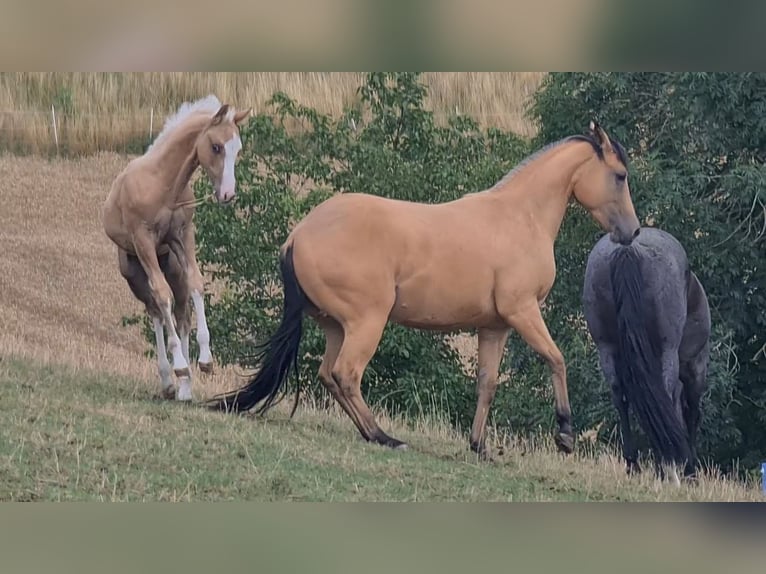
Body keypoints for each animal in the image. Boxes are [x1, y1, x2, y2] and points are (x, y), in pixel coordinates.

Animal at [102, 95, 251, 401]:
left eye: (238, 149)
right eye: (216, 146)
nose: (227, 194)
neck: (163, 184)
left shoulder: (182, 236)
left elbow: (197, 284)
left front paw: (205, 360)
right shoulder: (144, 240)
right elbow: (161, 296)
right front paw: (180, 365)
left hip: (171, 265)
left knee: (180, 312)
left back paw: (184, 387)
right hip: (135, 271)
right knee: (156, 310)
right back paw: (170, 378)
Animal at [207, 121, 641, 458]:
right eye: (620, 175)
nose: (632, 232)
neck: (520, 217)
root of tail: (298, 234)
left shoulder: (495, 326)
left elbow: (487, 383)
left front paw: (479, 446)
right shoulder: (522, 312)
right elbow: (556, 359)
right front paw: (565, 435)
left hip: (335, 326)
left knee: (329, 375)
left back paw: (371, 433)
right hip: (367, 322)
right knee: (347, 374)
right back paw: (385, 437)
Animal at [582, 227, 711, 483]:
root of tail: (628, 248)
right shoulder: (695, 368)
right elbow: (691, 413)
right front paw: (689, 471)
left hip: (607, 348)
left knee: (621, 397)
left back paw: (634, 465)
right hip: (667, 352)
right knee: (665, 394)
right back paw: (666, 467)